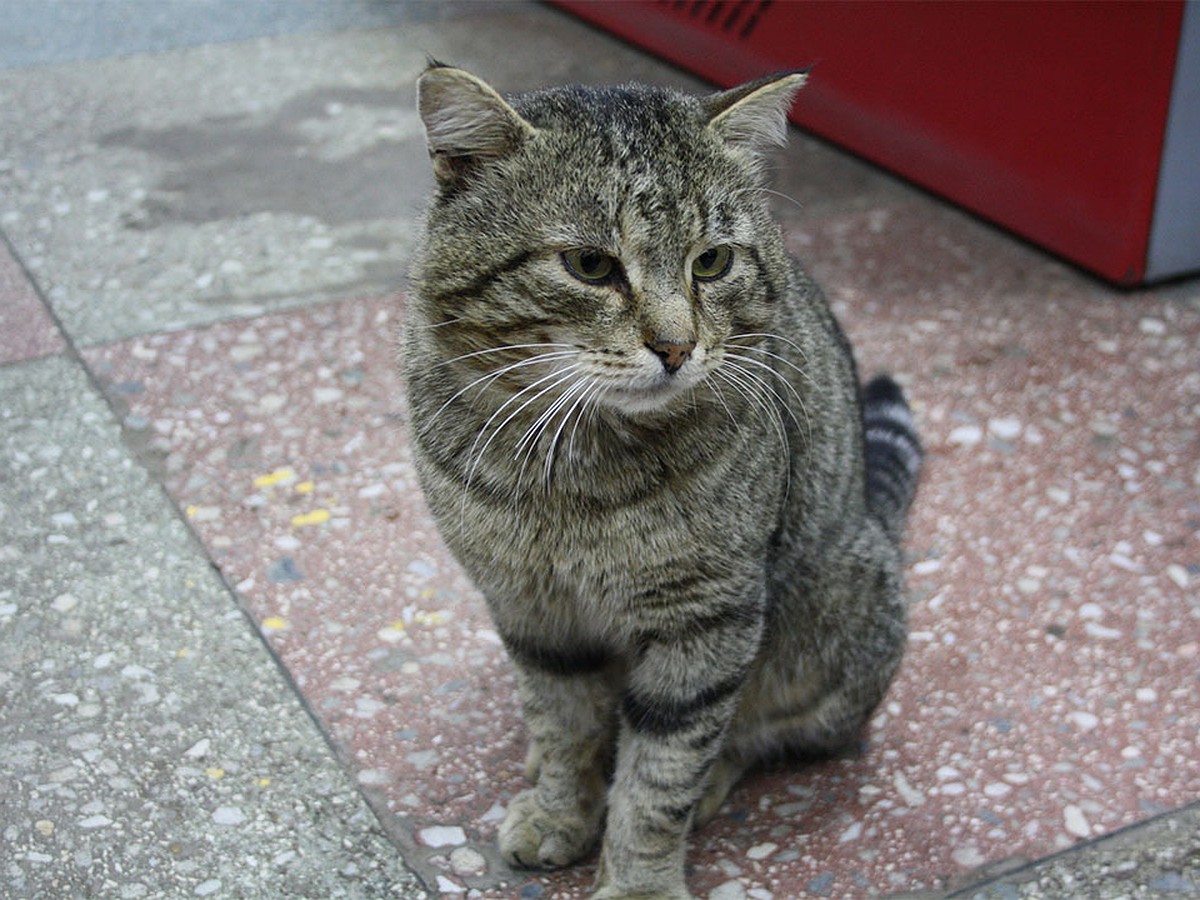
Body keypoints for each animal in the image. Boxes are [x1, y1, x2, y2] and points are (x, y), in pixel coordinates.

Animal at [403, 65, 916, 900]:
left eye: (712, 263)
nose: (676, 347)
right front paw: (561, 807)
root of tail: (876, 516)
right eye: (590, 266)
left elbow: (662, 773)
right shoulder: (530, 609)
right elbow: (564, 722)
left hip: (835, 620)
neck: (574, 471)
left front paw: (638, 876)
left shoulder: (708, 617)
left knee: (763, 734)